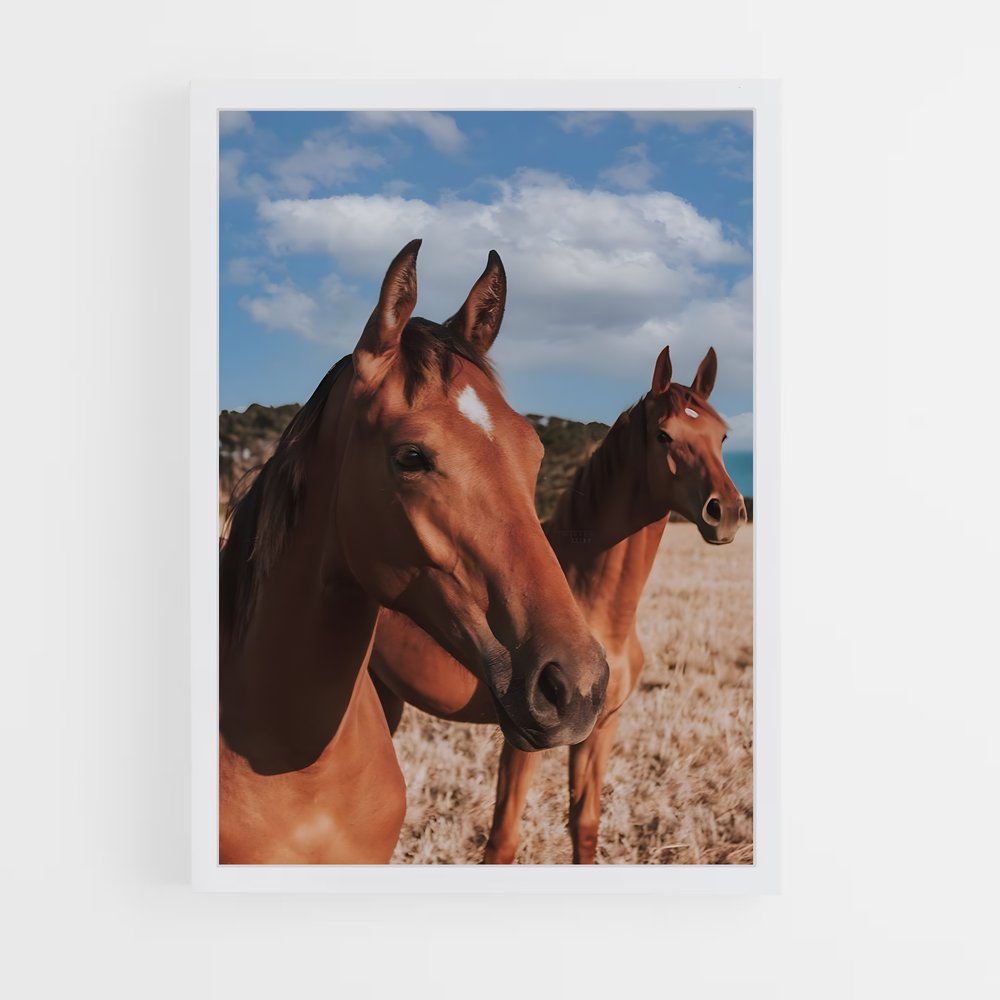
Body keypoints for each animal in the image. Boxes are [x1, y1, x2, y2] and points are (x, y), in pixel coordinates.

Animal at [370, 344, 746, 863]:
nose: (726, 512)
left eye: (722, 436)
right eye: (665, 435)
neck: (595, 609)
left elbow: (584, 825)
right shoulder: (524, 742)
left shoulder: (601, 730)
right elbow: (503, 840)